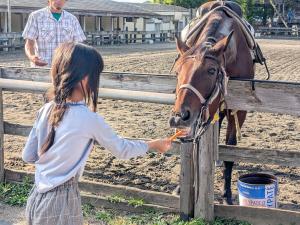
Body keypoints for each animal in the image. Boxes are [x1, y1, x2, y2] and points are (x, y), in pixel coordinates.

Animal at [169, 2, 255, 205]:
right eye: (177, 71)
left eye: (211, 70)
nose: (179, 117)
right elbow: (191, 147)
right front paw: (181, 187)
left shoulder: (239, 110)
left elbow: (231, 150)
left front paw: (227, 194)